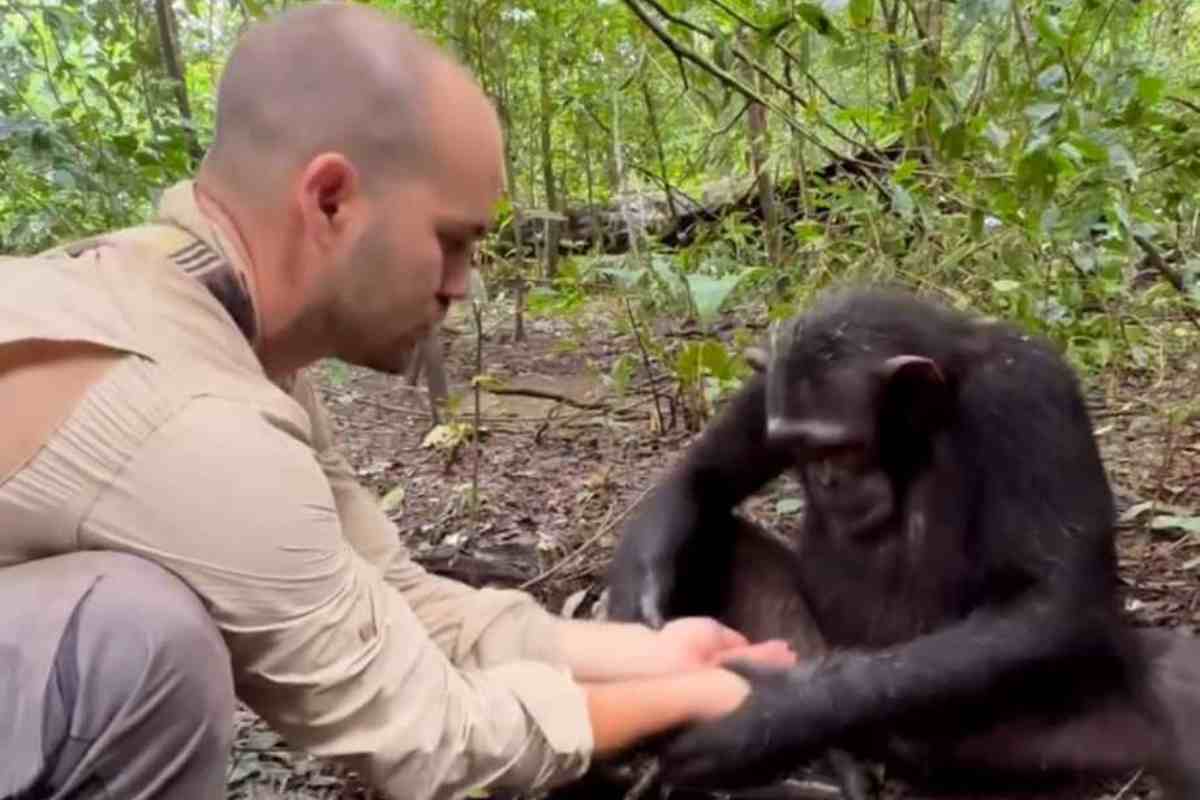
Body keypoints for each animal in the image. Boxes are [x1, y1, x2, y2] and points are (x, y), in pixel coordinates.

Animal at [609, 286, 1200, 796]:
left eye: (842, 447)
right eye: (799, 447)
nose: (828, 478)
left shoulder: (1032, 393)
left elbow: (1054, 602)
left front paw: (767, 715)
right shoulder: (767, 387)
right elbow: (703, 474)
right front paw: (634, 608)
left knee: (1173, 677)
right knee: (719, 534)